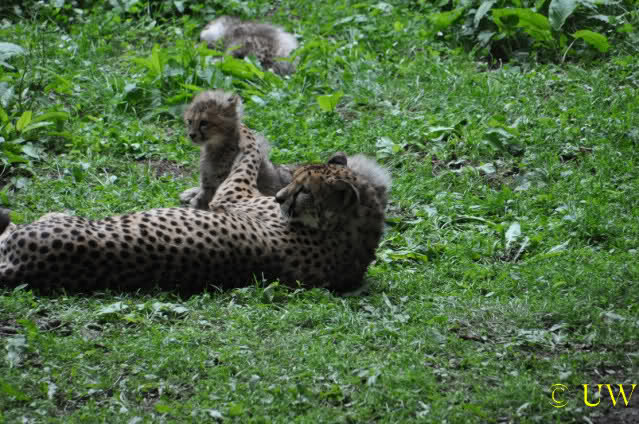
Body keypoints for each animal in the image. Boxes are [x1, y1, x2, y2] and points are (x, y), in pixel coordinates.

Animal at [0, 124, 391, 294]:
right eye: (295, 179)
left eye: (305, 190)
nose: (281, 199)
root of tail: (21, 267)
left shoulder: (232, 197)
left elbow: (246, 159)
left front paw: (243, 131)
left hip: (41, 228)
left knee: (18, 223)